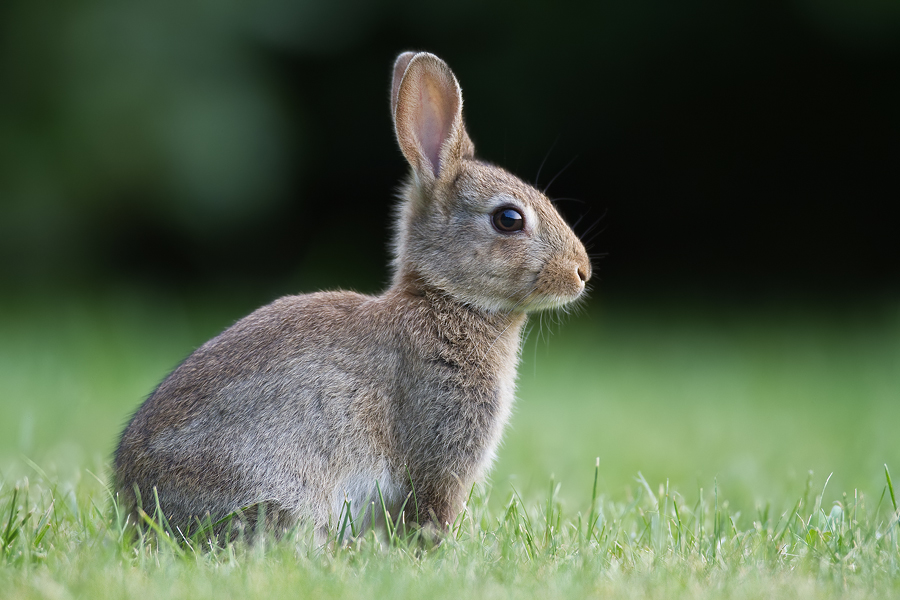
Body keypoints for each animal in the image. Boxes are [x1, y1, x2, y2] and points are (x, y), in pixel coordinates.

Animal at [110, 51, 592, 544]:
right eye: (508, 219)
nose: (582, 272)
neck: (447, 300)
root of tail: (138, 507)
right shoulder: (439, 452)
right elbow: (432, 511)